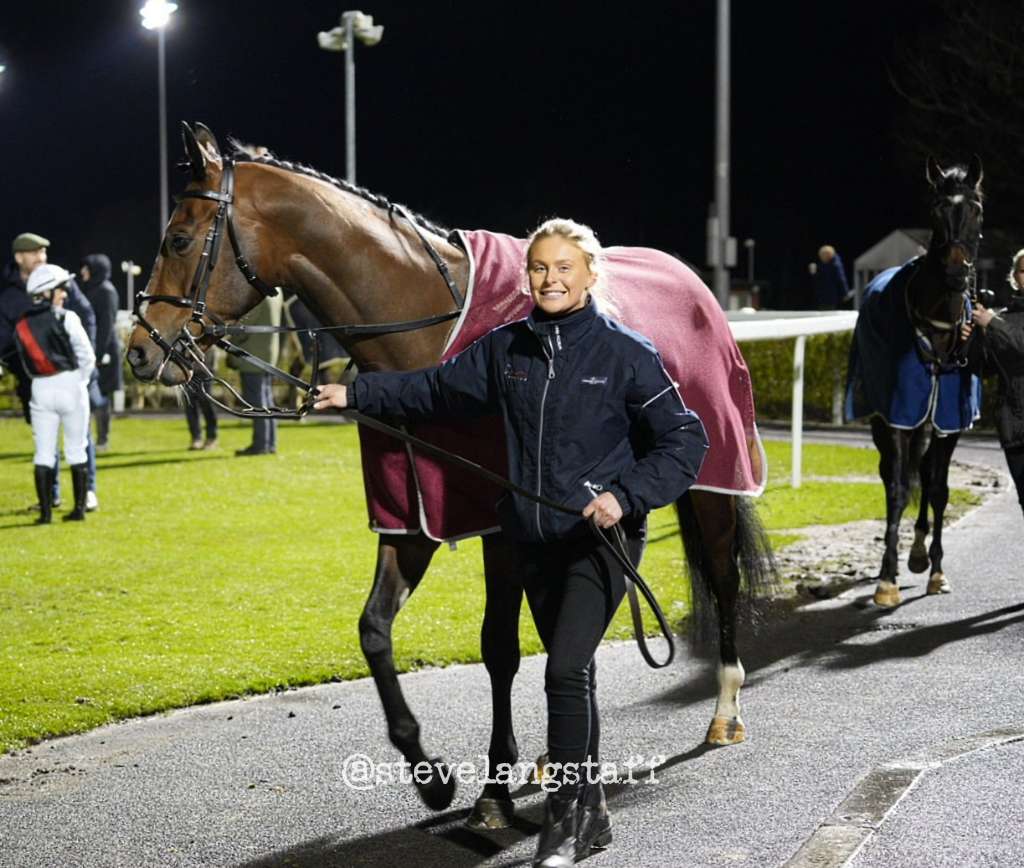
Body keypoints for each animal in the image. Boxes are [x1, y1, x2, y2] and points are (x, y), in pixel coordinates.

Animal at [125, 123, 774, 827]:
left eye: (177, 238)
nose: (138, 349)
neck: (428, 334)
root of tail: (695, 284)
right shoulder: (412, 519)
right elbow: (375, 631)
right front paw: (431, 773)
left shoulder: (505, 527)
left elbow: (499, 647)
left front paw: (492, 790)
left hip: (710, 483)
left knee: (721, 574)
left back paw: (725, 710)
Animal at [847, 157, 983, 610]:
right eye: (936, 210)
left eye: (976, 209)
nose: (957, 273)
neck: (936, 326)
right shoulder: (898, 415)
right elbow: (897, 490)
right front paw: (886, 579)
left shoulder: (949, 420)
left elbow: (938, 489)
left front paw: (936, 569)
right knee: (895, 474)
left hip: (930, 419)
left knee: (925, 473)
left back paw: (921, 551)